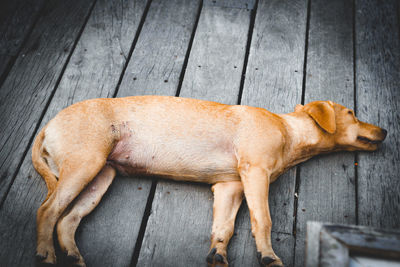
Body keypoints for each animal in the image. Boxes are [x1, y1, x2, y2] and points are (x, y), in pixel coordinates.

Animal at [32, 95, 386, 266]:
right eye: (352, 113)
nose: (384, 130)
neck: (289, 130)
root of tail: (49, 123)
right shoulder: (255, 173)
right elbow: (263, 220)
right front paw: (269, 256)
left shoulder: (231, 187)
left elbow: (224, 227)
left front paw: (218, 254)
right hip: (85, 164)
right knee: (47, 210)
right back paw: (46, 253)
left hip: (101, 177)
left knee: (67, 220)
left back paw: (73, 256)